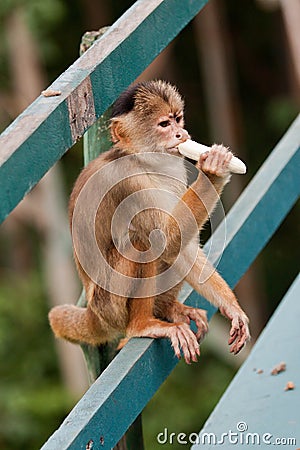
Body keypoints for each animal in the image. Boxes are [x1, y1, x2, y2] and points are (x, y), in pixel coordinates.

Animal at [49, 79, 250, 364]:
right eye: (164, 125)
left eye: (177, 119)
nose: (181, 134)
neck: (143, 159)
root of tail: (93, 314)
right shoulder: (129, 182)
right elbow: (166, 239)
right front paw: (214, 170)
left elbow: (181, 246)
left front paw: (231, 308)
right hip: (110, 306)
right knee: (143, 242)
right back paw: (142, 324)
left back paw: (169, 308)